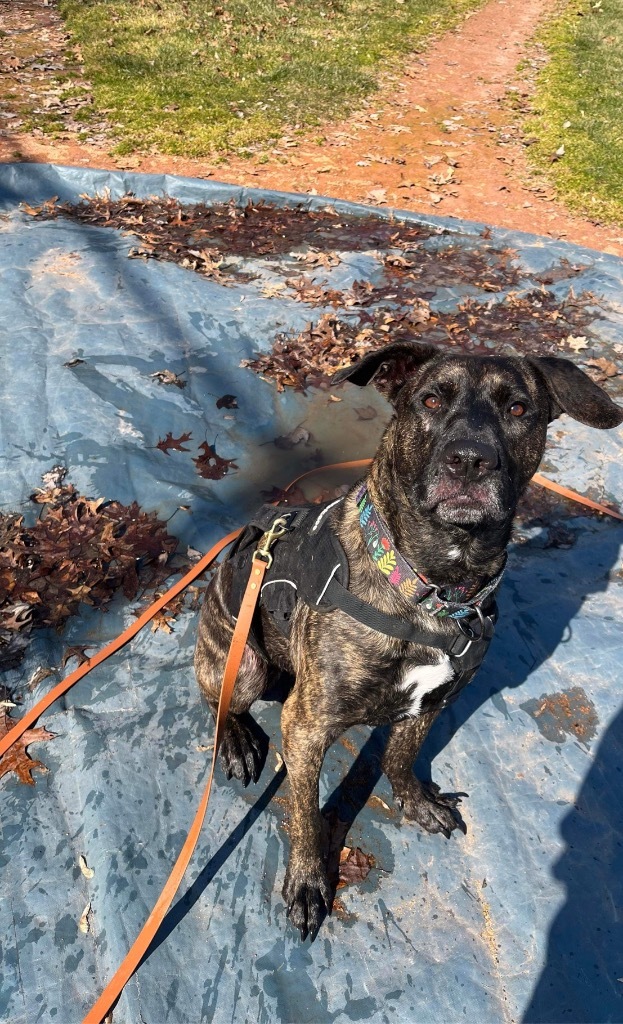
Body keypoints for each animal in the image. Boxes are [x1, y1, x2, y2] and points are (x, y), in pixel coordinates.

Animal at [194, 342, 623, 937]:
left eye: (517, 409)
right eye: (430, 400)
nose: (470, 460)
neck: (433, 586)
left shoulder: (435, 700)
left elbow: (401, 754)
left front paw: (416, 802)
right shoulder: (306, 725)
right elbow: (305, 812)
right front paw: (307, 881)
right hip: (244, 665)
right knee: (219, 698)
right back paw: (235, 739)